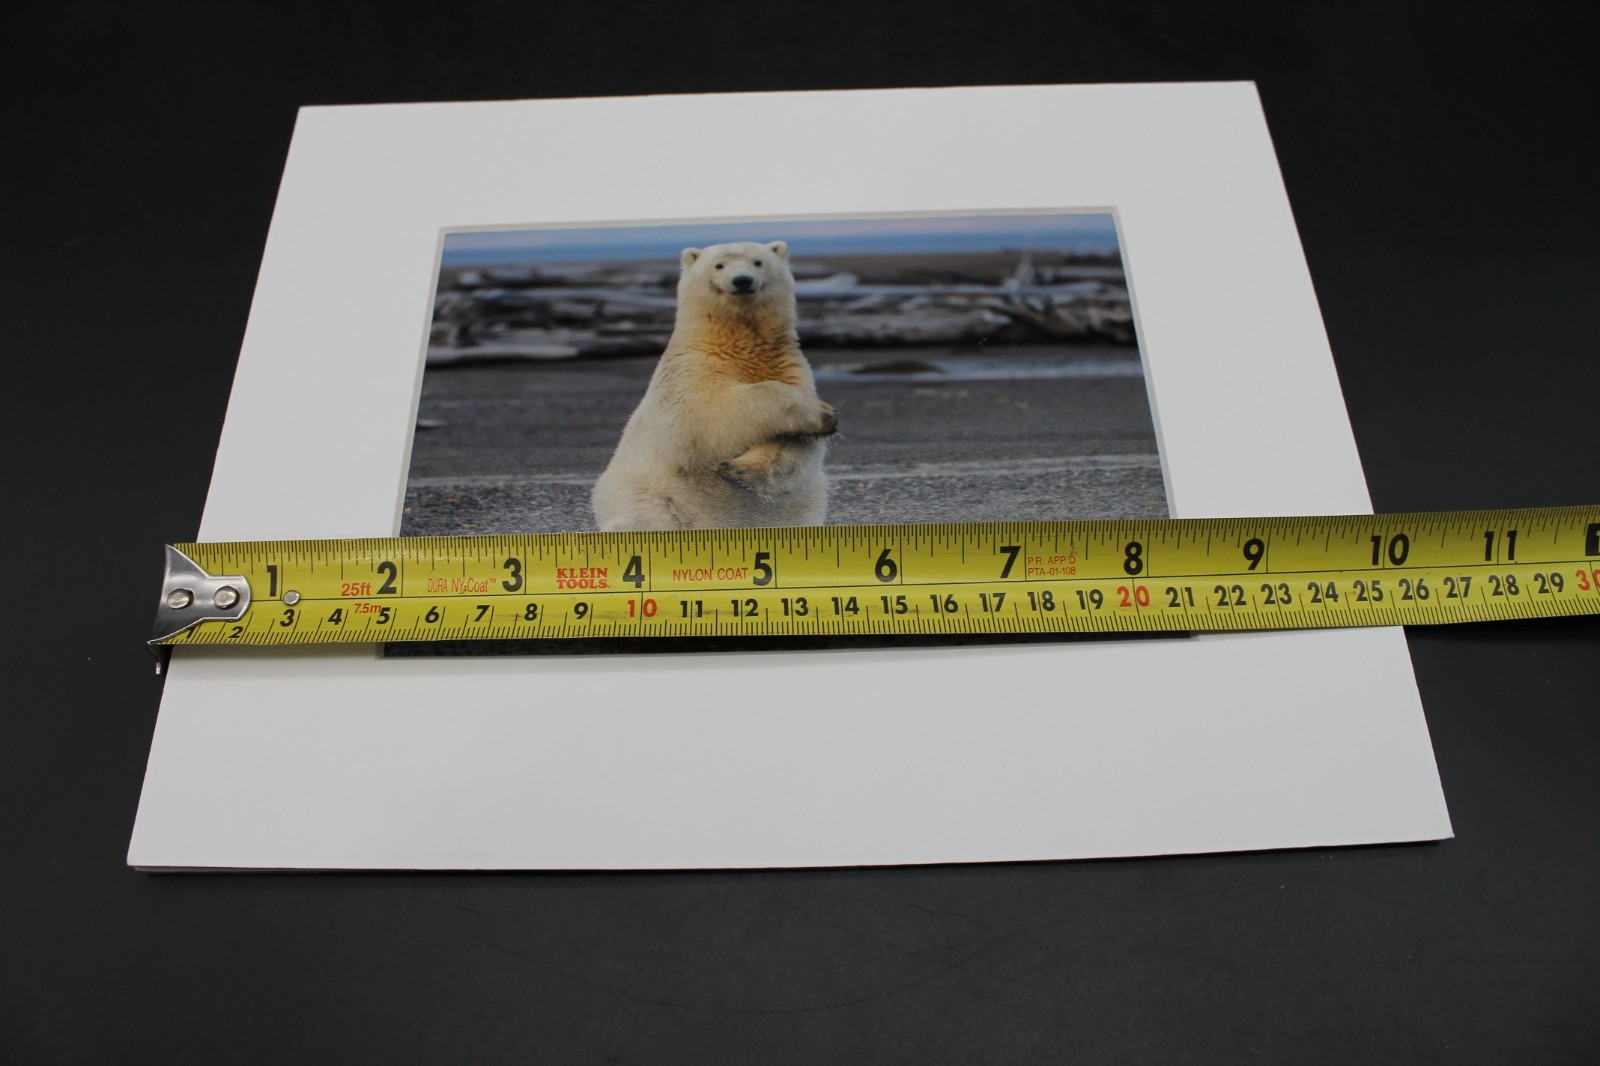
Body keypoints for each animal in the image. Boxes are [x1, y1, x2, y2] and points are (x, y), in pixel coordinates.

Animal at [591, 240, 837, 531]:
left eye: (758, 262)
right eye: (719, 264)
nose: (742, 281)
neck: (738, 345)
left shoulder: (789, 370)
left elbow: (795, 448)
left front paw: (738, 470)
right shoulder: (691, 368)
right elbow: (699, 415)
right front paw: (823, 413)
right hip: (649, 497)